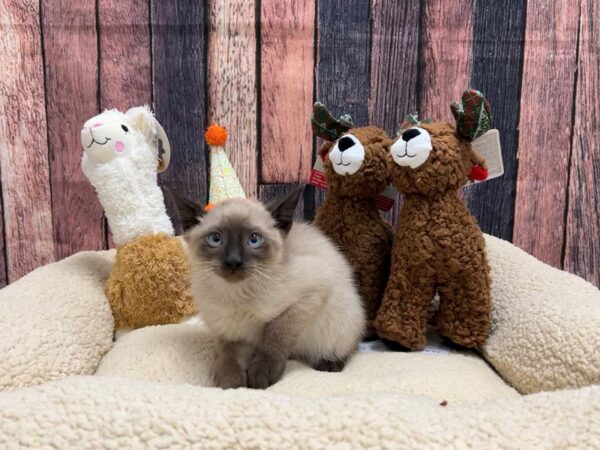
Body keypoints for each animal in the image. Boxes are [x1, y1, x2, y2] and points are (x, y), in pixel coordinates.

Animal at [170, 187, 366, 390]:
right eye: (215, 239)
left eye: (254, 240)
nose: (233, 262)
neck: (236, 295)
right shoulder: (227, 331)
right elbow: (228, 358)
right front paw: (231, 385)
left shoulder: (310, 294)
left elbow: (275, 336)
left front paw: (260, 375)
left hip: (341, 321)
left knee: (346, 348)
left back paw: (328, 363)